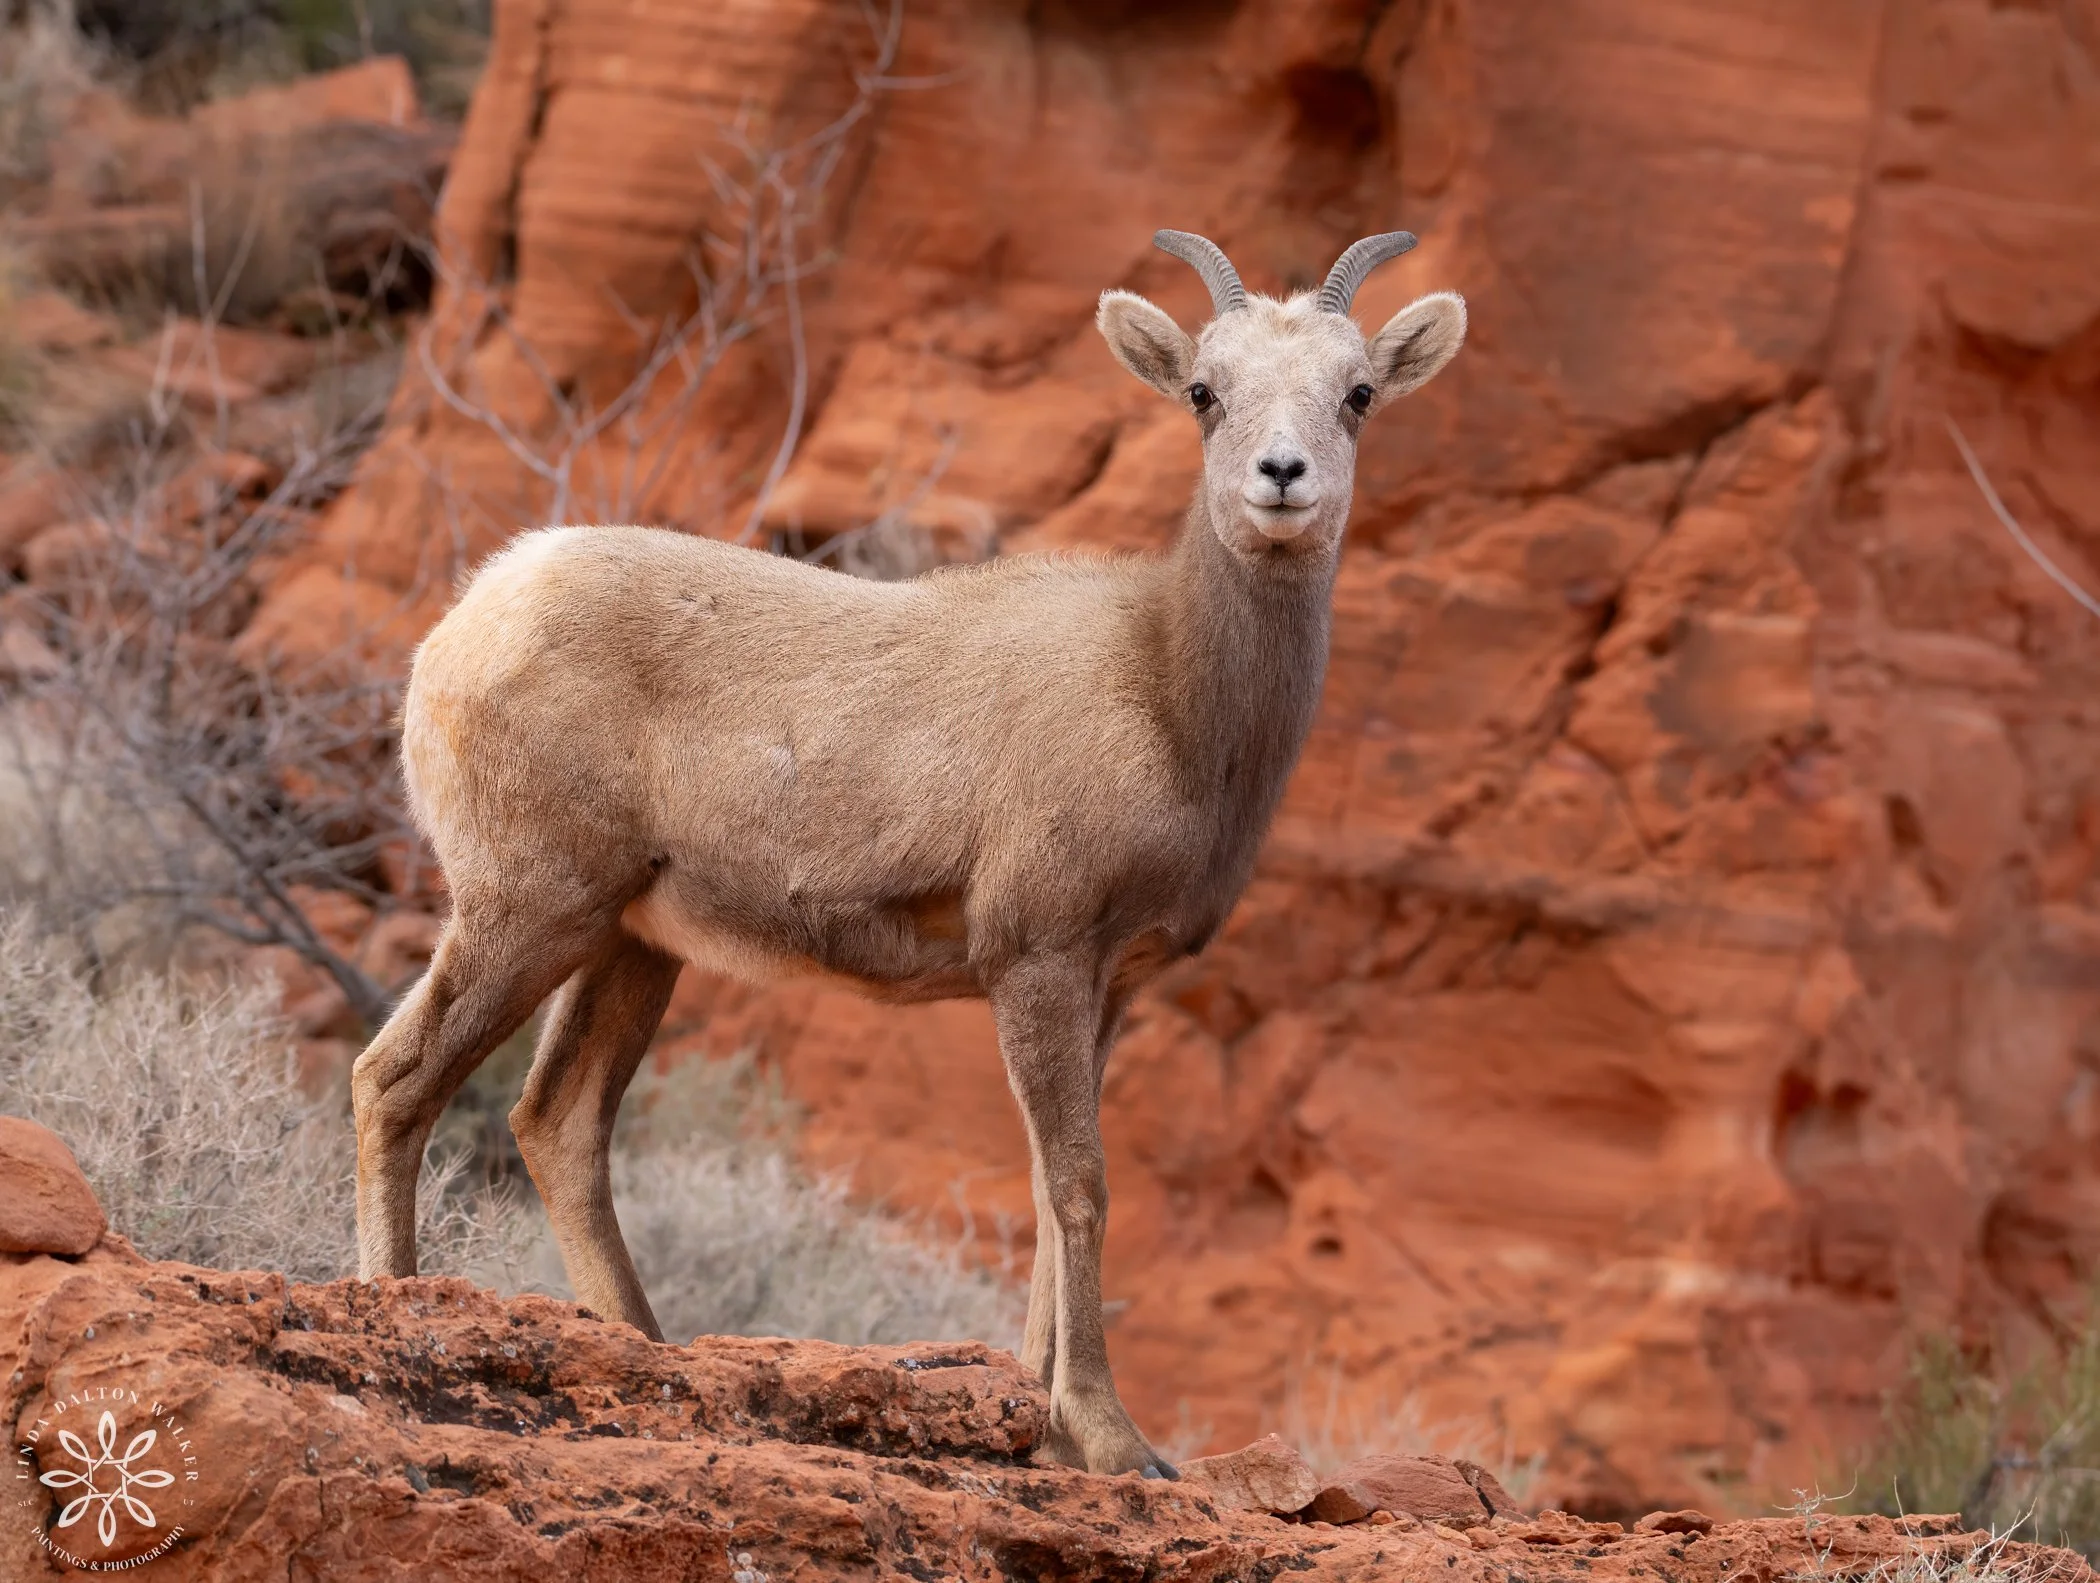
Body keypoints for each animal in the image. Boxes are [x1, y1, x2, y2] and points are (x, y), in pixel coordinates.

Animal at [351, 229, 1467, 1478]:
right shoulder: (1039, 959)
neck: (1171, 700)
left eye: (1358, 393)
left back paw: (649, 1344)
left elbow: (1044, 1190)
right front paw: (1112, 1439)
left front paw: (1053, 1431)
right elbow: (1080, 1186)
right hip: (527, 910)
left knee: (559, 1122)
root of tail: (468, 619)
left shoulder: (1106, 987)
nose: (1281, 476)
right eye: (1202, 391)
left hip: (630, 943)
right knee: (397, 1079)